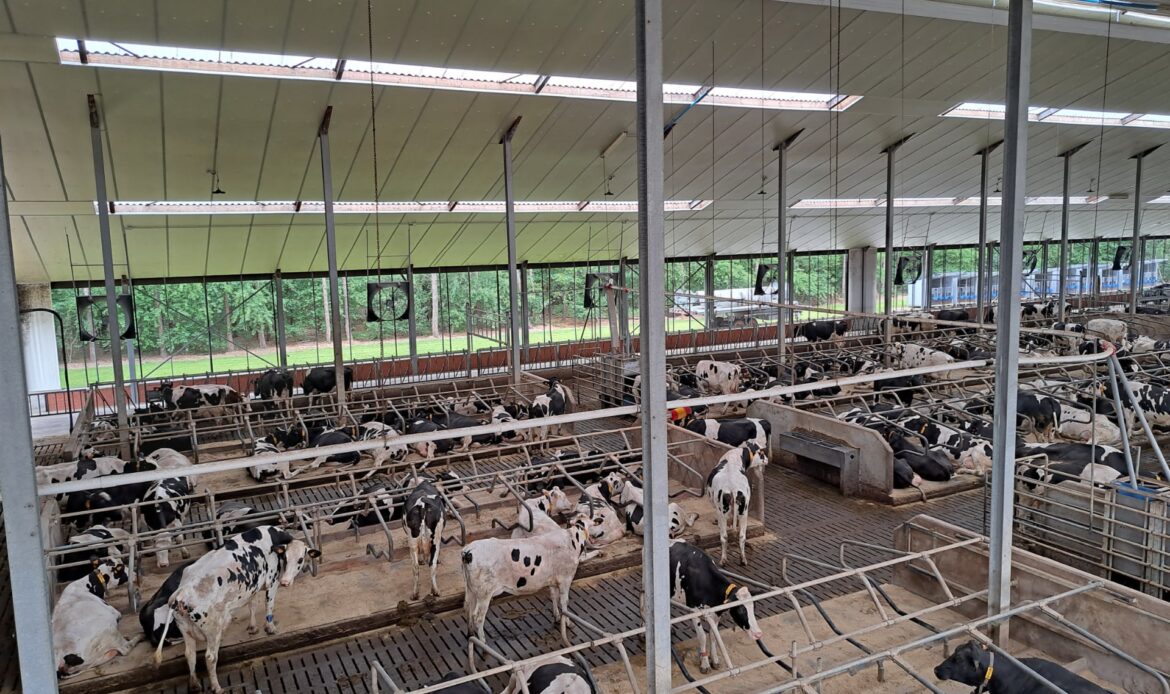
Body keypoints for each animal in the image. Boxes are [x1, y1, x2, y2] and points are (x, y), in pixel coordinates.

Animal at [155, 526, 319, 693]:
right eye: (285, 557)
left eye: (300, 559)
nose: (285, 582)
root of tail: (181, 592)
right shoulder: (272, 582)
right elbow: (269, 604)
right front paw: (270, 628)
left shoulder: (254, 586)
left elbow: (252, 605)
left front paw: (253, 627)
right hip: (213, 630)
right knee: (210, 658)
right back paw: (217, 687)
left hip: (185, 629)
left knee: (190, 654)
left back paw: (194, 684)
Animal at [461, 516, 596, 644]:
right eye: (595, 523)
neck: (571, 540)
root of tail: (468, 551)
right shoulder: (566, 579)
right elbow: (564, 603)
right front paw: (568, 623)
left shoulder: (553, 580)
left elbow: (554, 596)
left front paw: (557, 617)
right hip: (484, 593)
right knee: (478, 617)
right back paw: (483, 642)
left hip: (470, 589)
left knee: (467, 607)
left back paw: (470, 634)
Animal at [667, 541, 764, 674]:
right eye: (740, 610)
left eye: (753, 607)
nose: (758, 634)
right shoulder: (694, 611)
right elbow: (702, 636)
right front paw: (705, 664)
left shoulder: (716, 613)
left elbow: (713, 635)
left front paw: (715, 660)